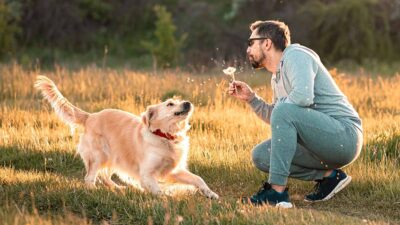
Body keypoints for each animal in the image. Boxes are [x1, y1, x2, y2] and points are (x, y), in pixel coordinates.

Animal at [35, 75, 219, 199]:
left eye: (179, 101)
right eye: (170, 104)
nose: (188, 103)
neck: (165, 136)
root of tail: (91, 116)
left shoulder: (174, 170)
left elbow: (198, 179)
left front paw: (210, 194)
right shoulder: (146, 173)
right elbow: (157, 190)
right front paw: (167, 197)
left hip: (115, 156)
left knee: (105, 176)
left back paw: (118, 188)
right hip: (99, 155)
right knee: (90, 178)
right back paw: (94, 191)